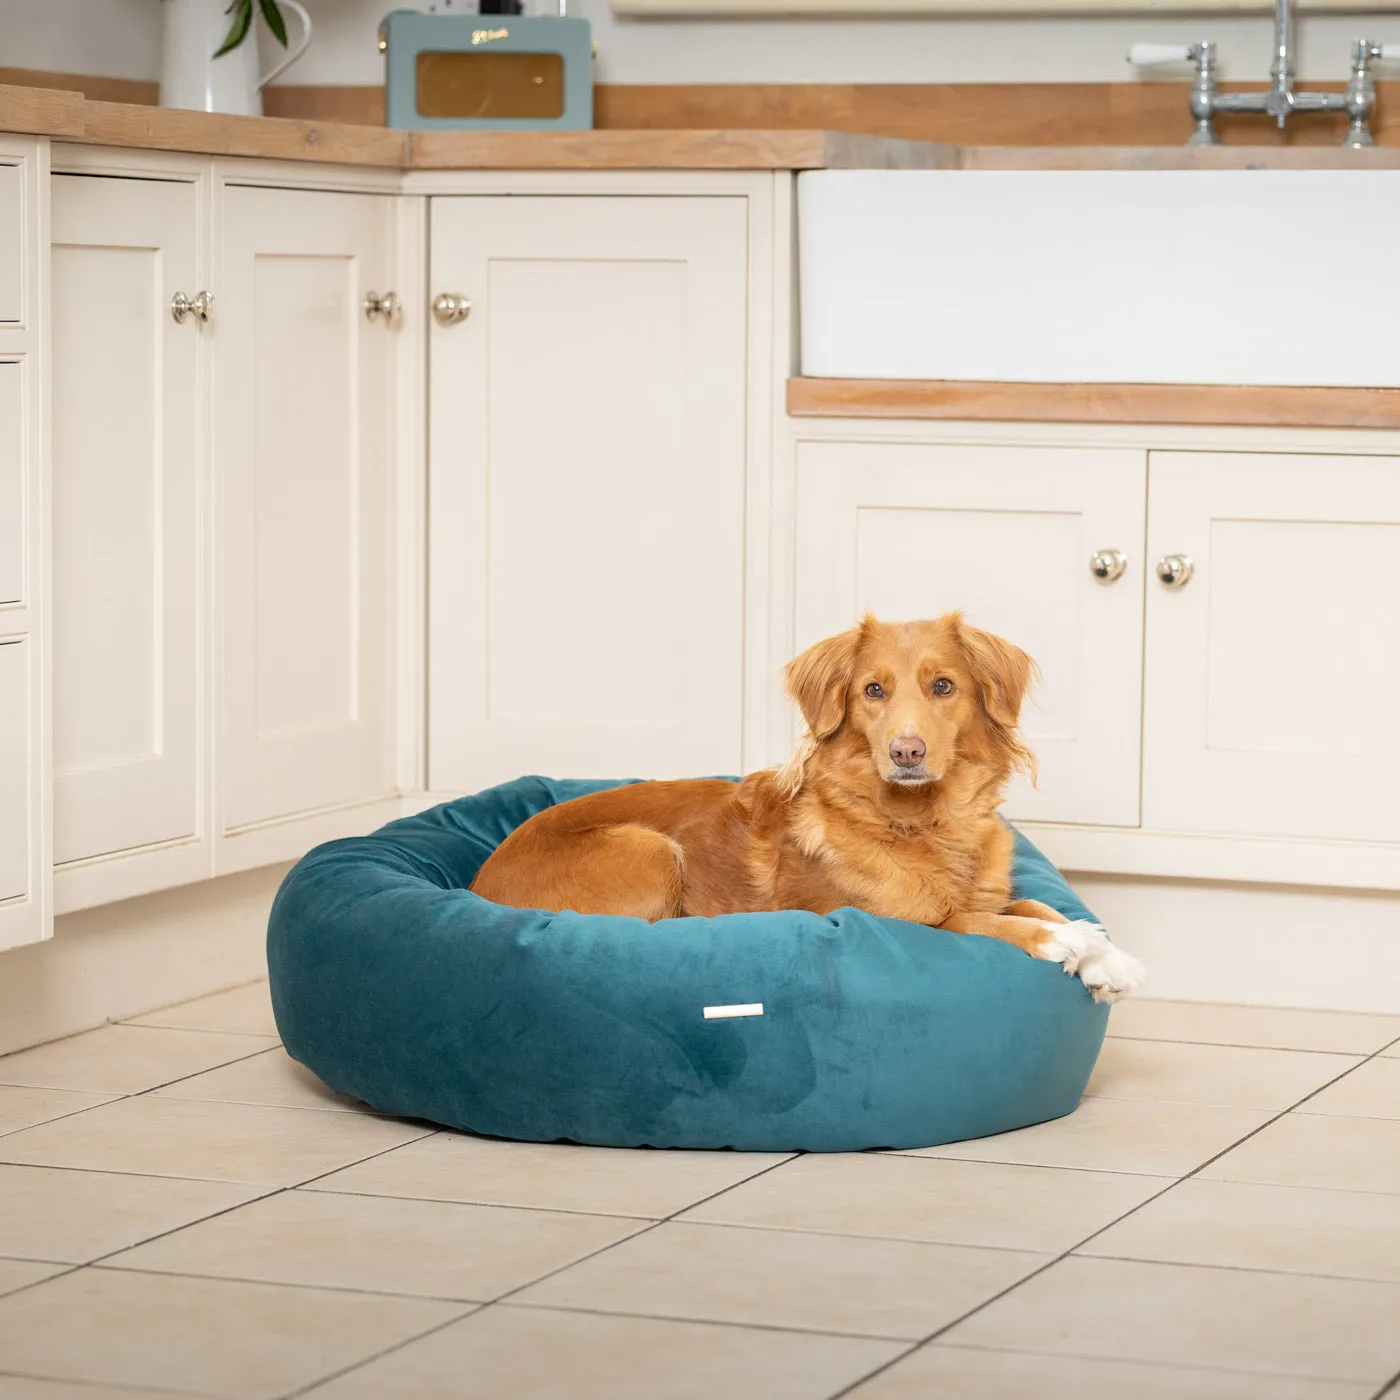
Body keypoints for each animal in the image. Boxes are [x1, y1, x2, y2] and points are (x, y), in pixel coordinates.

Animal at [476, 618, 1142, 1002]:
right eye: (873, 690)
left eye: (943, 686)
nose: (906, 751)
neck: (920, 820)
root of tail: (478, 881)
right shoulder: (896, 921)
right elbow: (973, 922)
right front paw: (1064, 940)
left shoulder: (986, 891)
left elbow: (1028, 903)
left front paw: (1107, 955)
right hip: (651, 850)